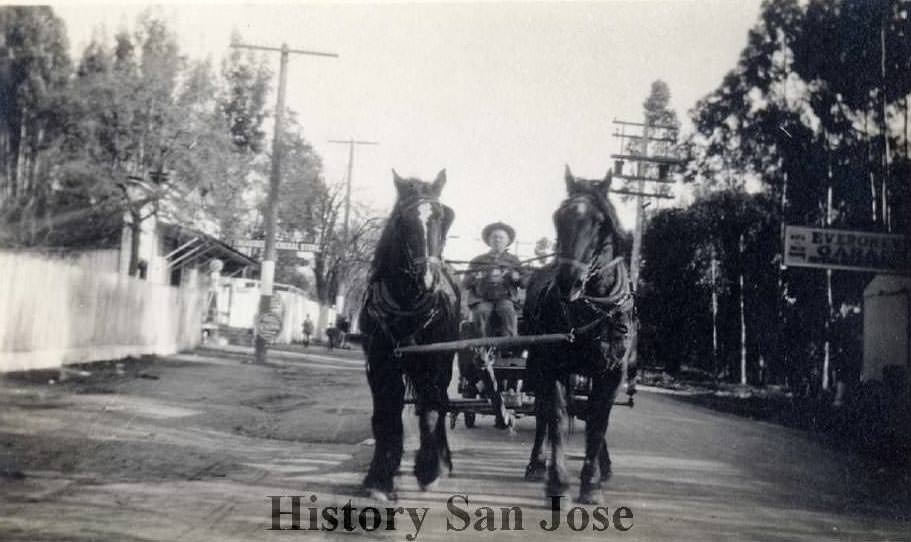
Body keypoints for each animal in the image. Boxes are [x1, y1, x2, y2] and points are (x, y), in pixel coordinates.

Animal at [358, 169, 460, 502]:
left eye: (444, 217)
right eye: (403, 220)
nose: (427, 280)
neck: (407, 305)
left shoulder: (432, 362)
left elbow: (429, 411)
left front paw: (428, 470)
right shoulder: (379, 363)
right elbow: (385, 415)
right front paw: (379, 477)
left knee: (440, 402)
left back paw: (442, 460)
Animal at [520, 166, 636, 506]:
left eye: (601, 223)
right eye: (559, 217)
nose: (567, 282)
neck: (595, 308)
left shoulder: (611, 373)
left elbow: (598, 423)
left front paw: (592, 483)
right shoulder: (554, 368)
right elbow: (557, 417)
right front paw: (558, 482)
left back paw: (603, 466)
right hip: (538, 363)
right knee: (543, 413)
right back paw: (537, 464)